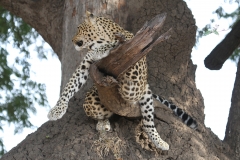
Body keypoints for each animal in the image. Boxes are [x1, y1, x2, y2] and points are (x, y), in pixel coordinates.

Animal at [47, 11, 198, 151]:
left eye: (79, 28)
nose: (72, 41)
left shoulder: (134, 72)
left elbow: (115, 47)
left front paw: (104, 49)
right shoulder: (85, 66)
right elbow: (70, 86)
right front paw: (57, 110)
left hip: (143, 94)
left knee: (148, 122)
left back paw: (159, 142)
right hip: (92, 101)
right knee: (104, 113)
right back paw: (103, 124)